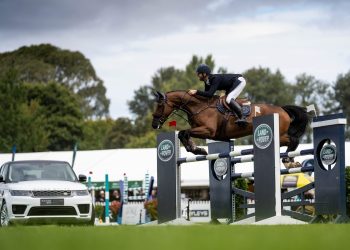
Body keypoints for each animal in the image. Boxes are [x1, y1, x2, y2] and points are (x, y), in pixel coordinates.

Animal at [151, 90, 308, 162]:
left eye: (160, 105)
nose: (154, 124)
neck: (199, 106)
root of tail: (282, 110)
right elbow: (182, 133)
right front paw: (197, 149)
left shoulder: (208, 131)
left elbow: (184, 132)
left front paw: (198, 149)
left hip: (279, 135)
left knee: (293, 140)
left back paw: (288, 158)